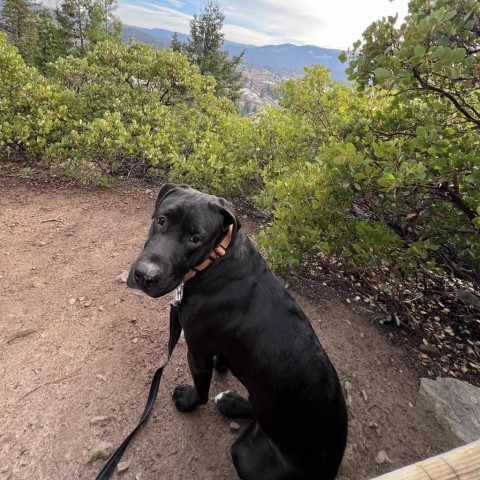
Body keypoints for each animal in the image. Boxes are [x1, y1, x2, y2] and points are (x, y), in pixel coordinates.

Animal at [125, 185, 346, 480]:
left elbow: (202, 391)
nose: (144, 276)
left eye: (195, 238)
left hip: (244, 454)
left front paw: (188, 401)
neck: (215, 260)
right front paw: (223, 368)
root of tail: (329, 471)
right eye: (161, 220)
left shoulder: (197, 353)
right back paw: (232, 403)